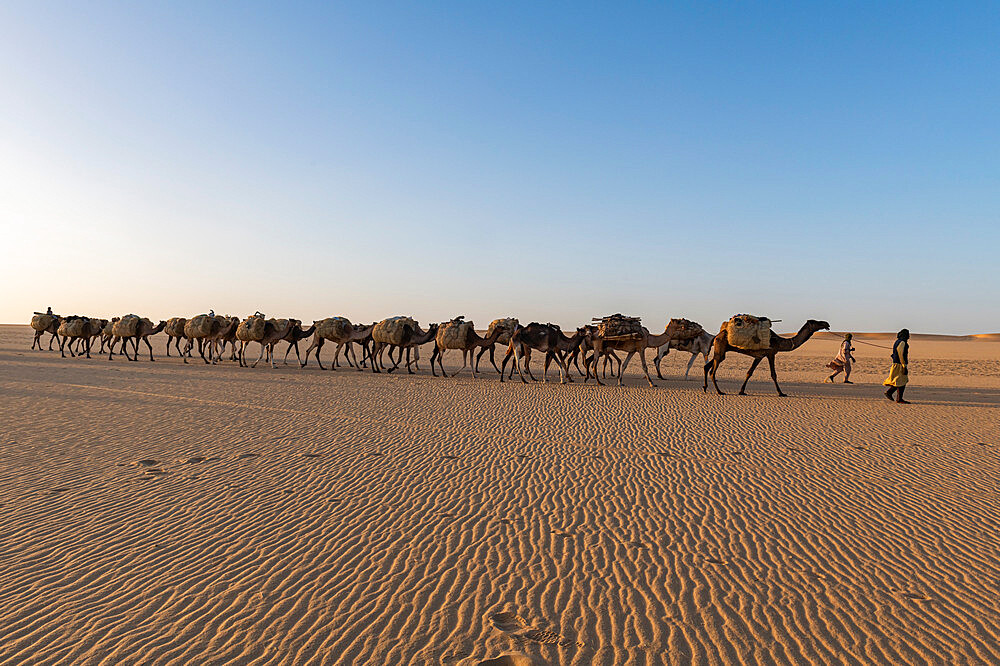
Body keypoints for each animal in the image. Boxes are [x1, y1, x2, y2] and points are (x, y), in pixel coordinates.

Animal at [704, 318, 836, 394]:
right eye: (816, 322)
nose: (826, 323)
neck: (779, 341)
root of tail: (716, 336)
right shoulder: (770, 354)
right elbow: (773, 374)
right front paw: (781, 393)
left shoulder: (759, 356)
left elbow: (749, 372)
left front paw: (742, 391)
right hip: (721, 349)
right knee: (712, 371)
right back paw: (719, 391)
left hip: (720, 351)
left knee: (707, 366)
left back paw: (705, 387)